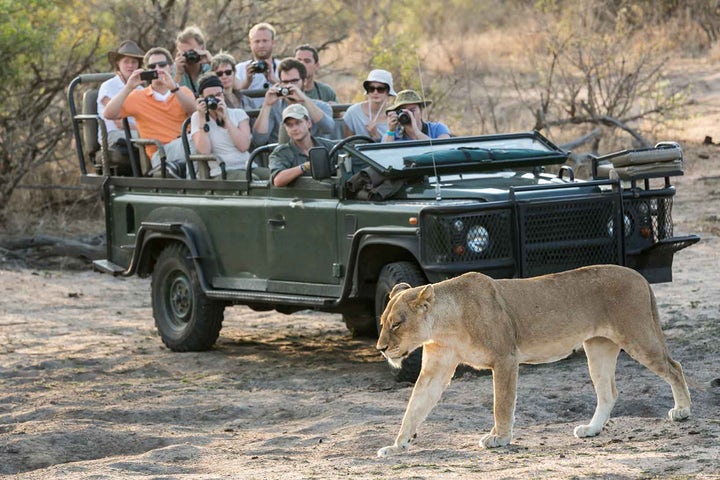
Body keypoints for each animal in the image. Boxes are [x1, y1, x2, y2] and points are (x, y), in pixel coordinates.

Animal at [376, 264, 691, 457]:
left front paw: (499, 438)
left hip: (638, 336)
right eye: (382, 323)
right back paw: (591, 430)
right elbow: (414, 407)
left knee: (674, 367)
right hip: (598, 347)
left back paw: (683, 411)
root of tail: (639, 275)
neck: (444, 325)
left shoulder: (505, 358)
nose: (380, 348)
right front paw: (396, 446)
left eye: (397, 324)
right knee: (608, 393)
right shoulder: (436, 370)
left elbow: (501, 404)